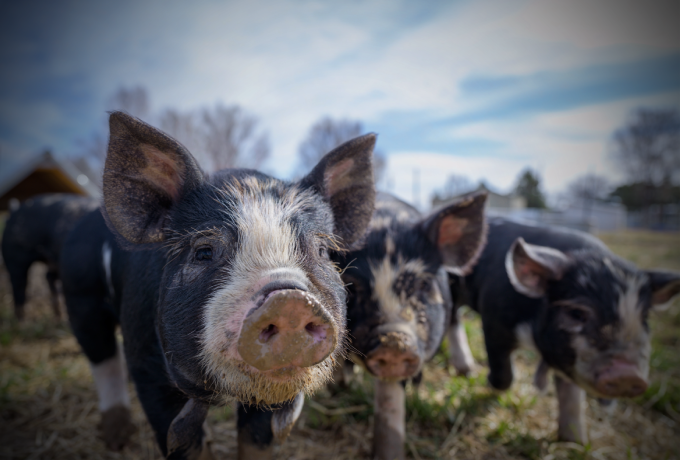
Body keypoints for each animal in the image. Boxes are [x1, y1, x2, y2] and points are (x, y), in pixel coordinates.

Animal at [59, 112, 378, 460]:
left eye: (322, 252)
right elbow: (182, 444)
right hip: (80, 295)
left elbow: (256, 440)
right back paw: (117, 440)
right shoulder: (147, 364)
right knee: (101, 357)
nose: (289, 300)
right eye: (204, 252)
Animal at [446, 217, 680, 444]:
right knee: (453, 319)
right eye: (576, 313)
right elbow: (504, 375)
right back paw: (466, 370)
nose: (628, 375)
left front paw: (575, 443)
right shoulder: (494, 321)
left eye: (644, 318)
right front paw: (488, 382)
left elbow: (572, 396)